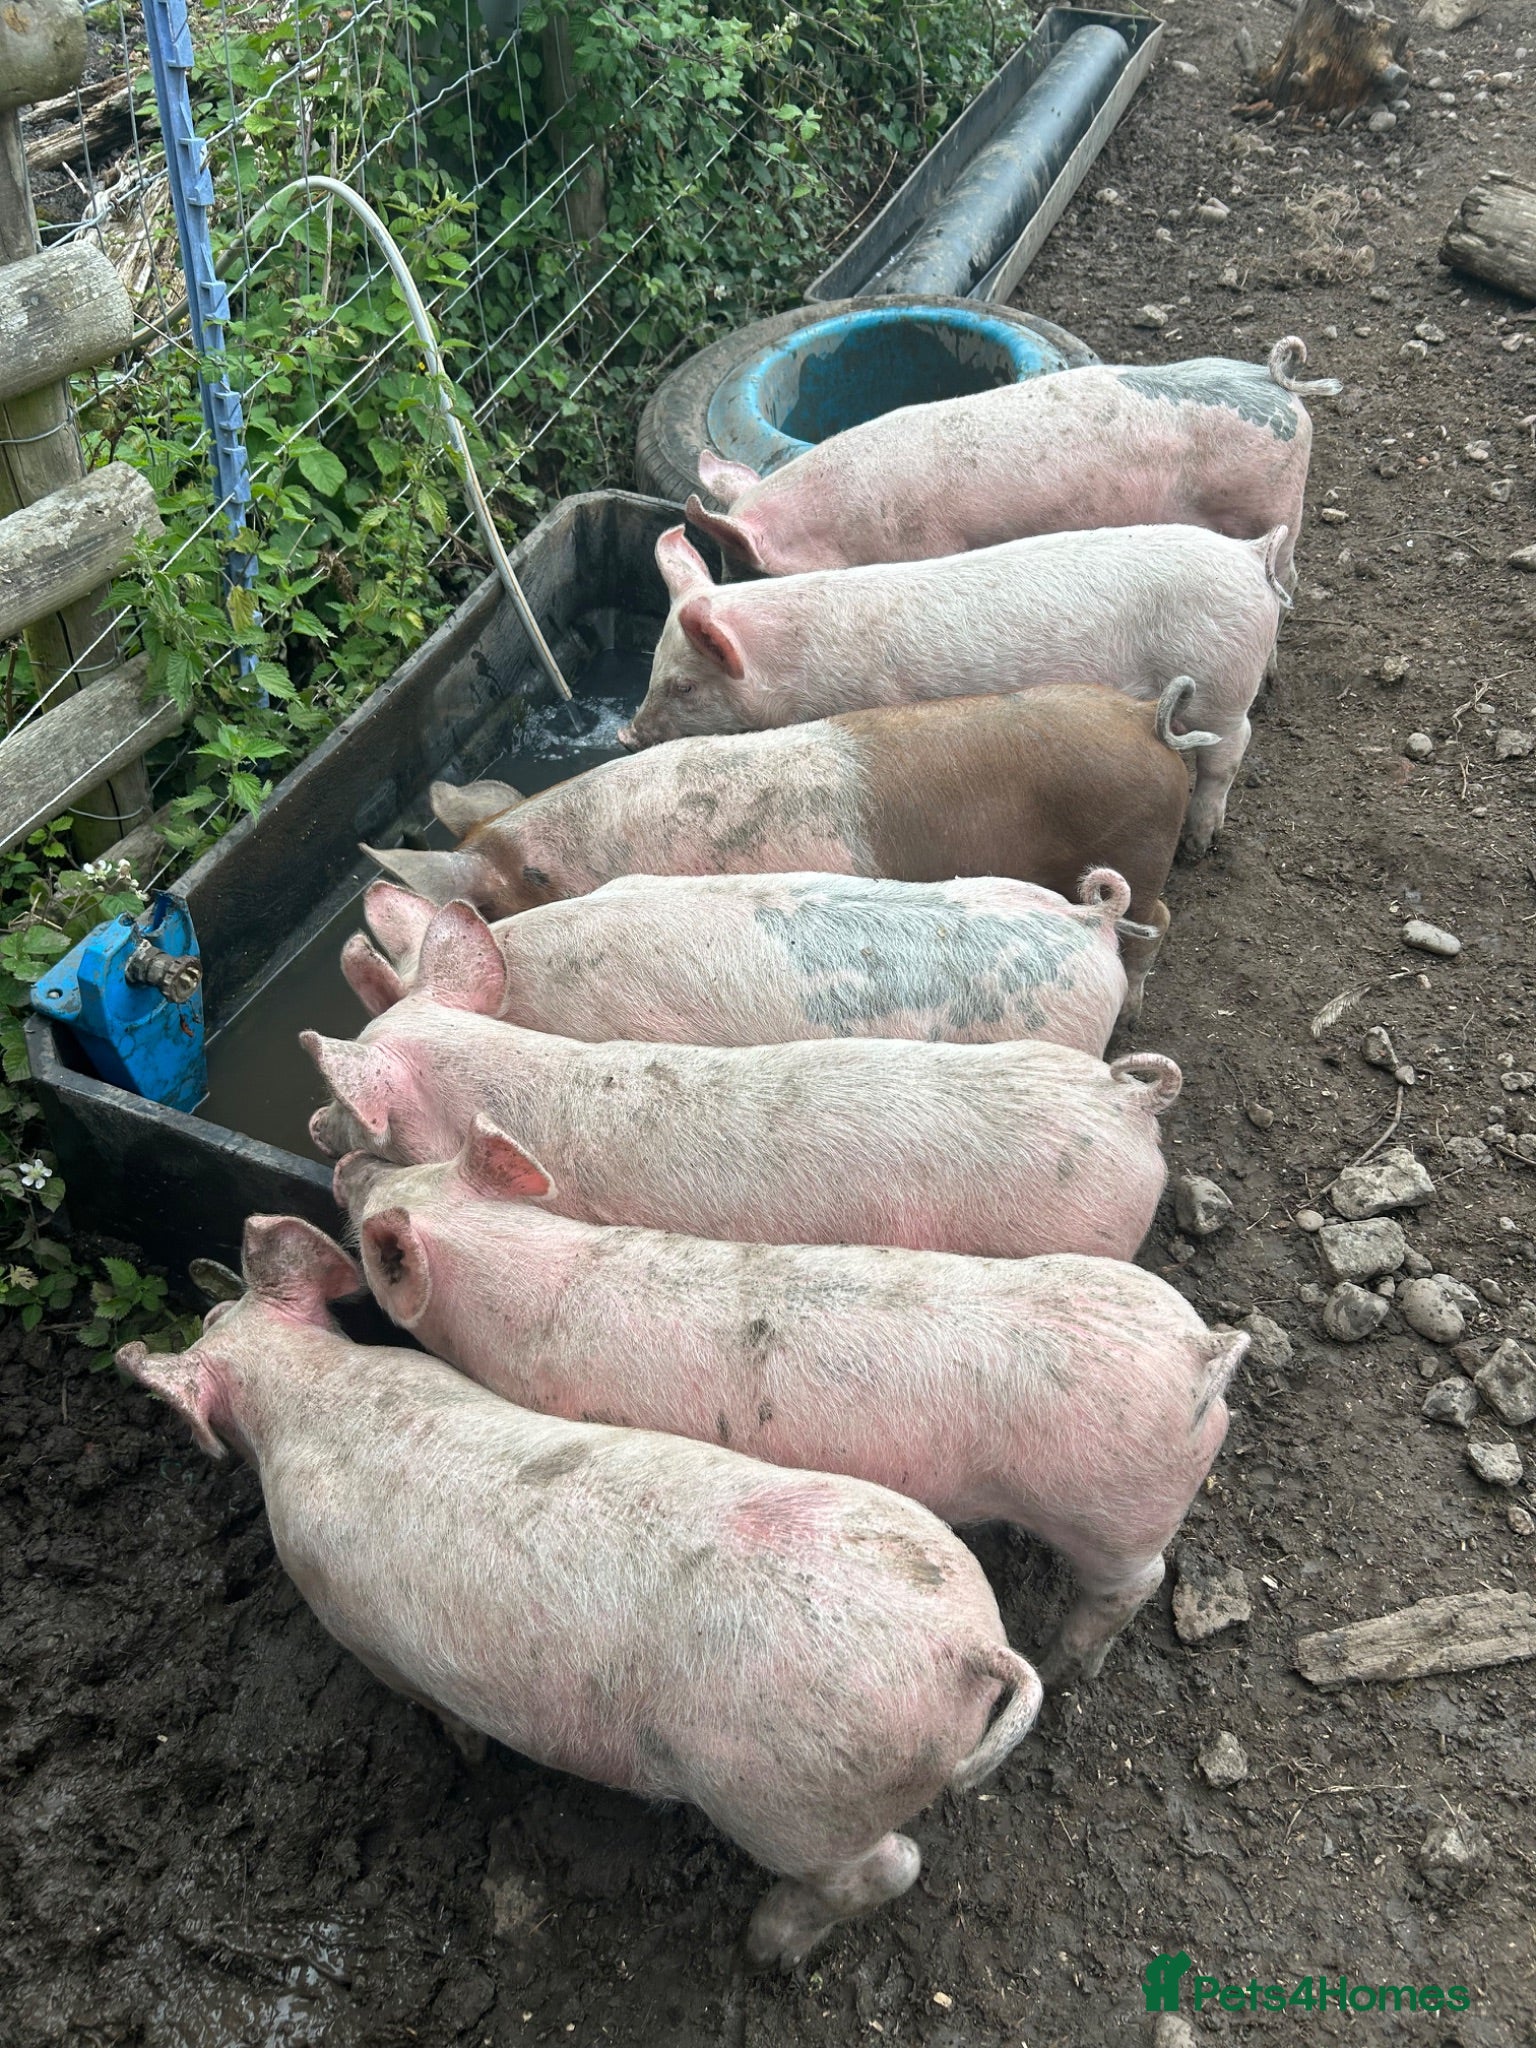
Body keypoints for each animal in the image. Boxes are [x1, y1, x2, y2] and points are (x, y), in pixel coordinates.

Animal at [118, 1215, 1042, 1966]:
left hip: (794, 1800)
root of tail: (970, 1647)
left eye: (208, 1322)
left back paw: (765, 1948)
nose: (204, 1313)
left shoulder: (346, 1616)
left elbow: (434, 1707)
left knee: (888, 1866)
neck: (311, 1393)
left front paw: (466, 1754)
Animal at [338, 1123, 1248, 1685]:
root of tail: (1199, 1354)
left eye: (373, 1235)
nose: (349, 1167)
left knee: (1136, 1581)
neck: (527, 1281)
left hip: (1108, 1513)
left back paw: (1063, 1667)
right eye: (416, 1171)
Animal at [622, 523, 1282, 854]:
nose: (628, 735)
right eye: (652, 669)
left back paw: (1199, 844)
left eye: (685, 687)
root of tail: (1249, 555)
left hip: (1220, 682)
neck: (787, 669)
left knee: (1232, 748)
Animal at [685, 335, 1340, 588]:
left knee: (1288, 578)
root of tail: (1272, 381)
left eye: (747, 572)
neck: (837, 528)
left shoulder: (927, 546)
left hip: (1272, 508)